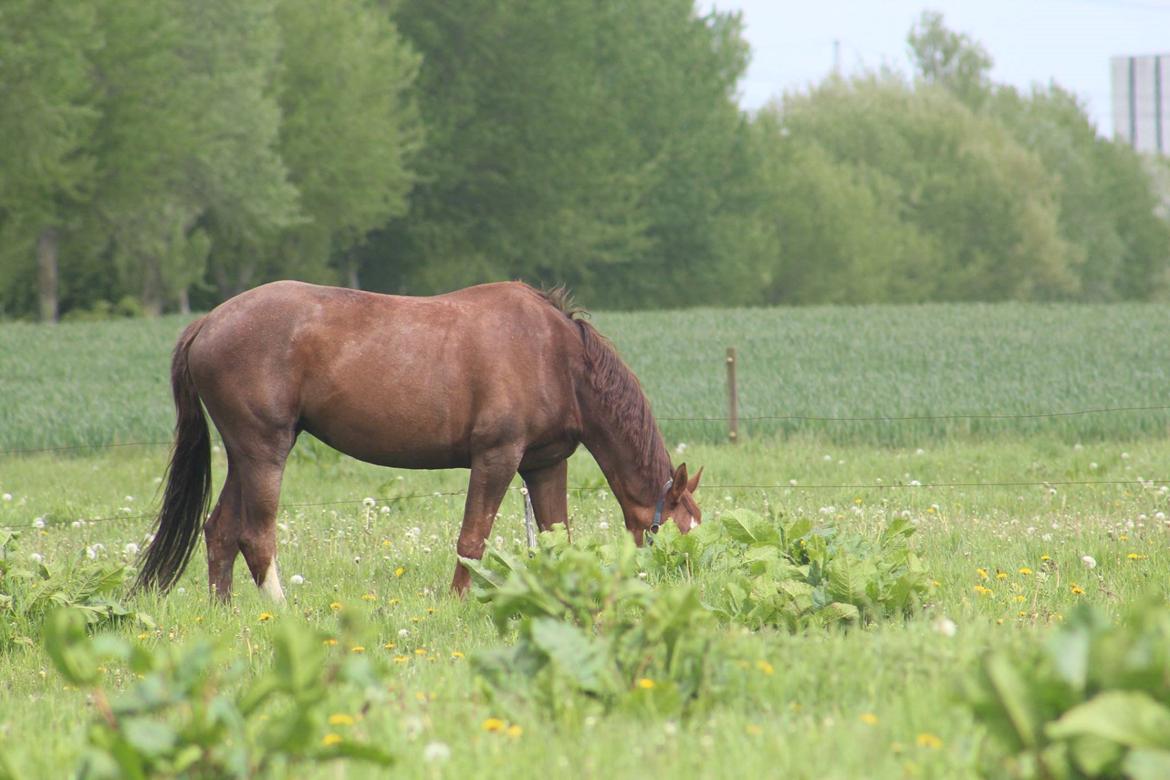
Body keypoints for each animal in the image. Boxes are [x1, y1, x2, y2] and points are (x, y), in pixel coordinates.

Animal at [136, 281, 702, 603]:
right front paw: (457, 602)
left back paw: (224, 611)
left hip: (243, 454)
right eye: (675, 532)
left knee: (220, 531)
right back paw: (282, 611)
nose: (687, 586)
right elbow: (472, 539)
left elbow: (556, 537)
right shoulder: (496, 458)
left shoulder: (545, 465)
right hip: (264, 452)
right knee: (256, 536)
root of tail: (208, 322)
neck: (555, 355)